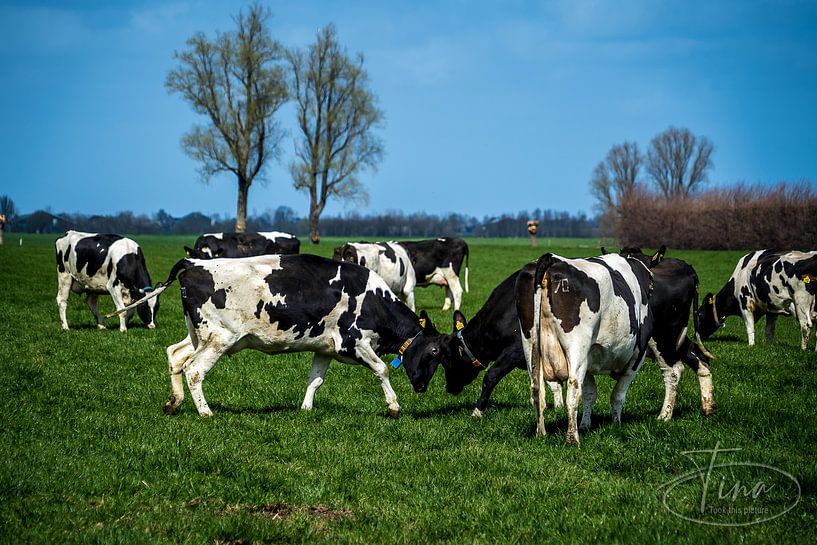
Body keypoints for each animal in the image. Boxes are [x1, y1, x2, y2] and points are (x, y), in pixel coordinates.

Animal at [147, 254, 450, 416]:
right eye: (434, 352)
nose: (422, 386)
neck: (374, 299)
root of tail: (194, 262)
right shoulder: (353, 342)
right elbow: (382, 369)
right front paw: (393, 406)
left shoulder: (325, 349)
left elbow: (315, 380)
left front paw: (305, 408)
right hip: (219, 338)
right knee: (194, 370)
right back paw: (205, 412)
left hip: (199, 336)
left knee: (175, 355)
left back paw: (174, 403)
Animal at [512, 253, 652, 444]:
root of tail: (551, 258)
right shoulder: (638, 356)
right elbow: (617, 395)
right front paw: (616, 424)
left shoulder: (589, 359)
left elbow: (590, 394)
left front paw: (586, 425)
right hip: (576, 346)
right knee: (572, 389)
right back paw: (572, 439)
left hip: (530, 343)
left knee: (537, 390)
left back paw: (541, 434)